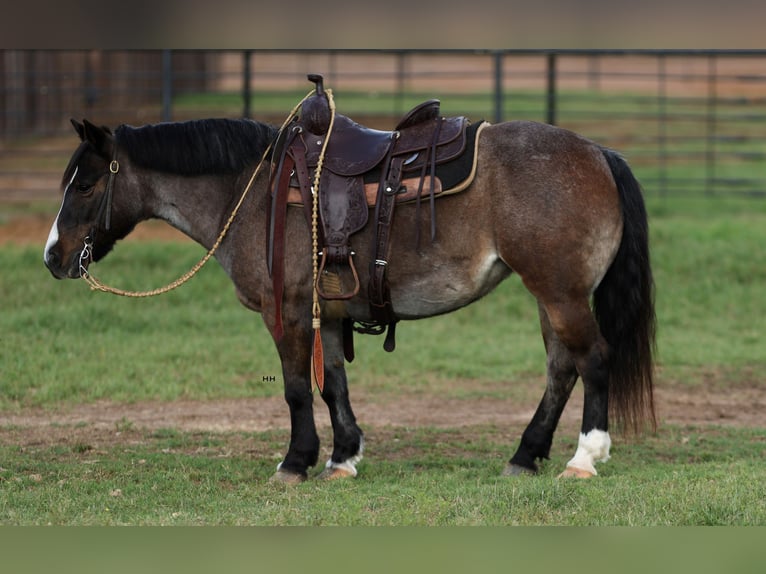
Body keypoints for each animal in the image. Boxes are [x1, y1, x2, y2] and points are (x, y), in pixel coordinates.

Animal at [43, 95, 656, 486]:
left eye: (88, 183)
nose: (52, 257)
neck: (253, 193)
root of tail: (598, 153)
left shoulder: (286, 314)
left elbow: (296, 389)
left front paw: (295, 463)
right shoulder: (329, 315)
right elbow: (333, 384)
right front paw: (342, 458)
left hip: (561, 293)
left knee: (592, 360)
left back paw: (584, 457)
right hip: (549, 295)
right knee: (561, 369)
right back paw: (525, 455)